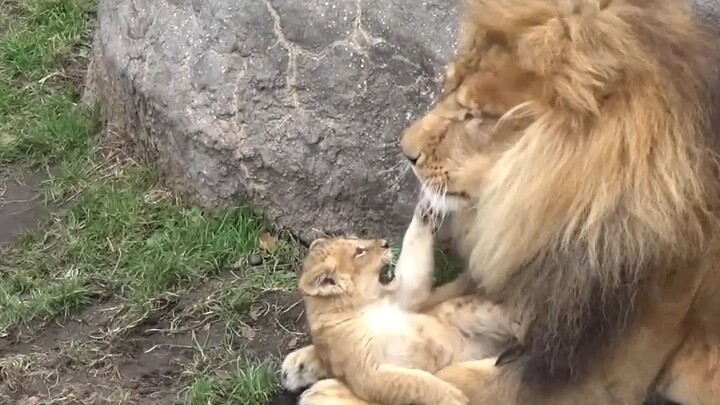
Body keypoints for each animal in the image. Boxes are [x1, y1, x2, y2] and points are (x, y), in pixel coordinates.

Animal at [287, 203, 519, 405]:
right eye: (359, 252)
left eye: (357, 241)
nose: (385, 242)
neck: (362, 307)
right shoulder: (367, 373)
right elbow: (414, 382)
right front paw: (452, 397)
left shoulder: (405, 294)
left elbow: (414, 262)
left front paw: (426, 208)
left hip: (463, 311)